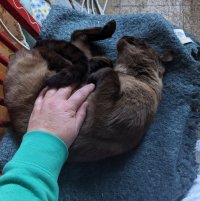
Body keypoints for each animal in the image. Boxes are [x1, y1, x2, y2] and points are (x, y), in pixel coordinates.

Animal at [3, 20, 172, 162]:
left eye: (138, 42)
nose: (126, 36)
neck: (134, 76)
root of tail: (15, 56)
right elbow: (107, 69)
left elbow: (108, 72)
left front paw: (98, 71)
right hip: (78, 56)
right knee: (75, 41)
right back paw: (109, 30)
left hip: (60, 68)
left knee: (64, 52)